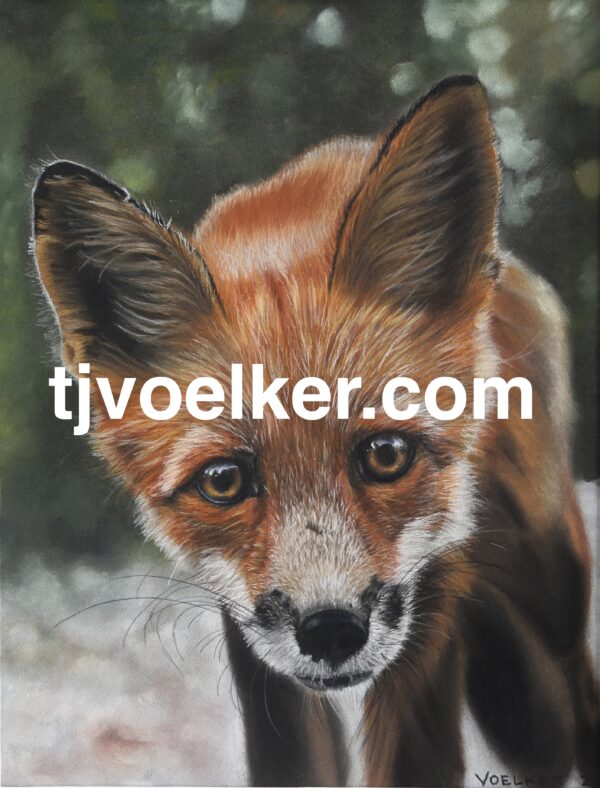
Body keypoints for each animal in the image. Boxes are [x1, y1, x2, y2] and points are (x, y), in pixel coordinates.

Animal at [32, 75, 598, 787]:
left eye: (386, 455)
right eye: (224, 481)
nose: (331, 631)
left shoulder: (430, 592)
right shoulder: (252, 637)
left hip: (555, 592)